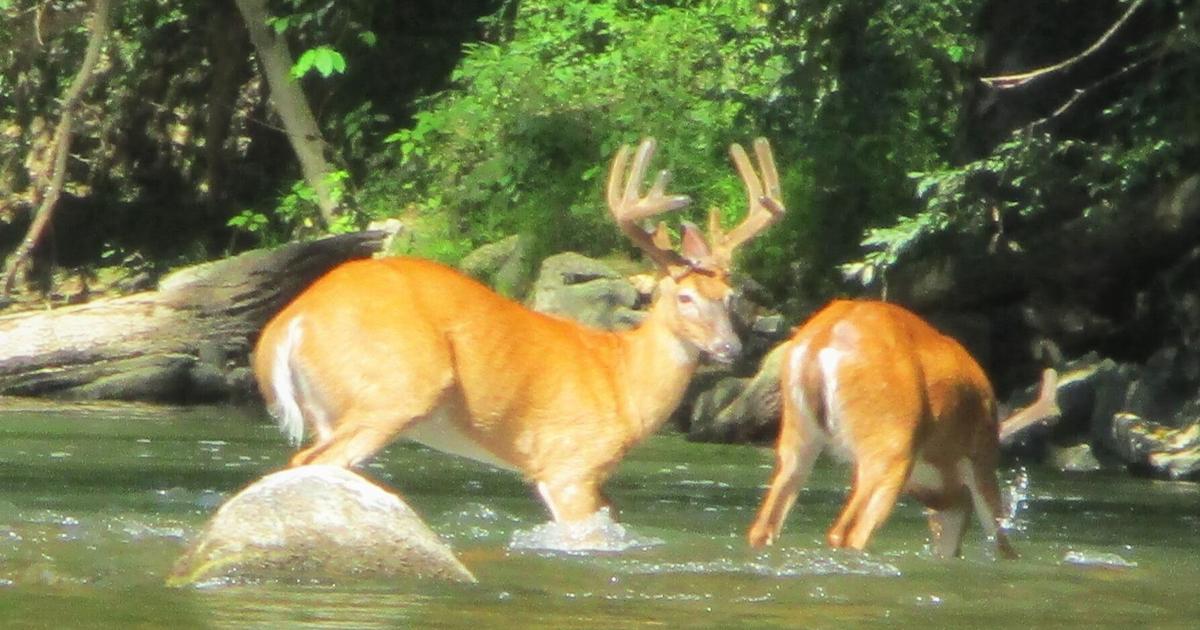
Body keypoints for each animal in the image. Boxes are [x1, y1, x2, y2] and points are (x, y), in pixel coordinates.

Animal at [253, 139, 787, 523]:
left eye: (731, 296)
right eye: (684, 297)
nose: (730, 347)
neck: (623, 382)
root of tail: (288, 323)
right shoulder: (570, 462)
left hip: (331, 405)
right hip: (395, 389)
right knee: (312, 463)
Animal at [744, 300, 1065, 554]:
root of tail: (823, 337)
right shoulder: (981, 458)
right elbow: (997, 532)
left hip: (799, 434)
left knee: (764, 526)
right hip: (890, 443)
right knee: (849, 531)